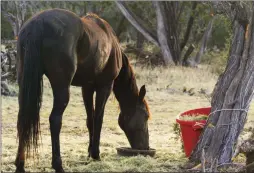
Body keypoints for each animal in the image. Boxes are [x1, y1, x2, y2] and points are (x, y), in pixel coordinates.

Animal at [14, 8, 151, 173]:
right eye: (145, 115)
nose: (145, 148)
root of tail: (37, 24)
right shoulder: (105, 86)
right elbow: (98, 118)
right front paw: (96, 154)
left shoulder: (87, 88)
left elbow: (90, 119)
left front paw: (89, 152)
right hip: (61, 87)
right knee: (55, 120)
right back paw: (58, 164)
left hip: (25, 85)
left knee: (23, 118)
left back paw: (20, 165)